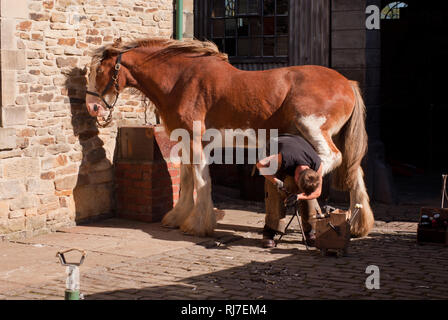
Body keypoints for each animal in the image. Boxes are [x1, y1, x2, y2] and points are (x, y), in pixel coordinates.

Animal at [86, 37, 372, 238]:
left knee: (332, 158)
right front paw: (178, 218)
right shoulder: (184, 141)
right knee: (354, 170)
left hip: (312, 128)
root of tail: (347, 83)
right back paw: (357, 225)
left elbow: (201, 180)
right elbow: (187, 178)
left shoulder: (196, 141)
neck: (180, 80)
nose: (93, 108)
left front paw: (198, 225)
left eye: (100, 71)